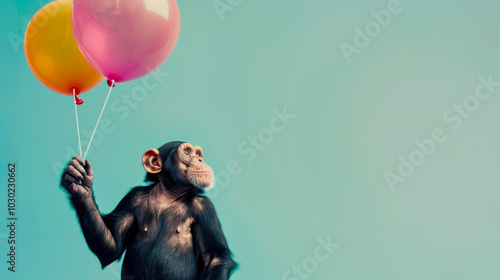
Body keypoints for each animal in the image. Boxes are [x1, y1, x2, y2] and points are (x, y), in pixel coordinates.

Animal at [58, 142, 238, 280]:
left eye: (198, 154)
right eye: (187, 153)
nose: (200, 159)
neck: (169, 195)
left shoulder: (204, 207)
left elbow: (214, 257)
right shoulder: (132, 198)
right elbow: (111, 248)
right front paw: (82, 186)